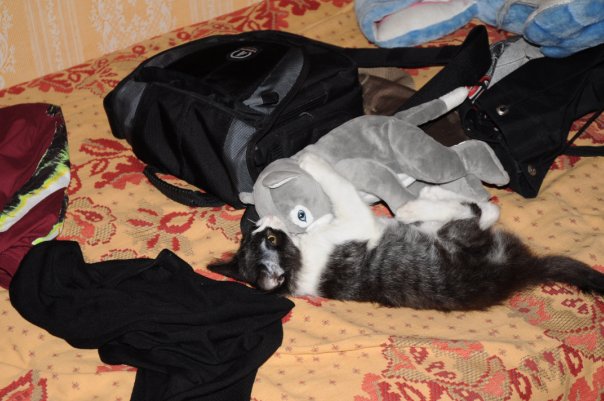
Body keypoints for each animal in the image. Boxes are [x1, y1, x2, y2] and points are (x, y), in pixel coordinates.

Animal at [208, 152, 604, 311]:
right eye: (271, 241)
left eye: (260, 237)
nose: (263, 222)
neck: (299, 263)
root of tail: (517, 273)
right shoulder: (355, 224)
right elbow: (341, 190)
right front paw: (311, 161)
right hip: (456, 240)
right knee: (475, 213)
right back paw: (422, 203)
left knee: (479, 211)